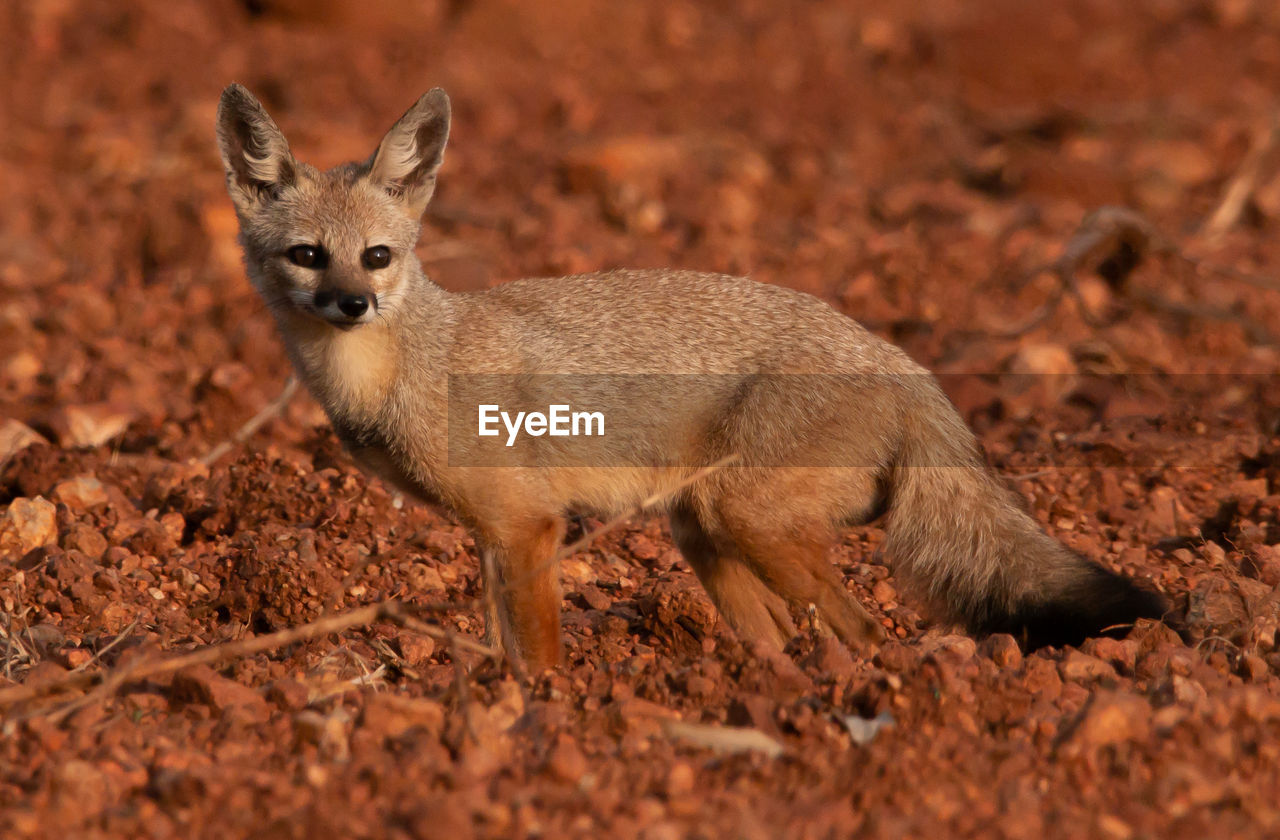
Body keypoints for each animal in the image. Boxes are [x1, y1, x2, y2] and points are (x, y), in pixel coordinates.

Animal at [212, 85, 1172, 670]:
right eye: (309, 256)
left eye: (376, 257)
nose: (352, 305)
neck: (408, 363)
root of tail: (908, 365)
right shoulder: (494, 536)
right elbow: (501, 645)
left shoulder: (528, 526)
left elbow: (538, 658)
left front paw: (540, 716)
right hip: (706, 530)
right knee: (784, 641)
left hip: (743, 519)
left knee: (864, 632)